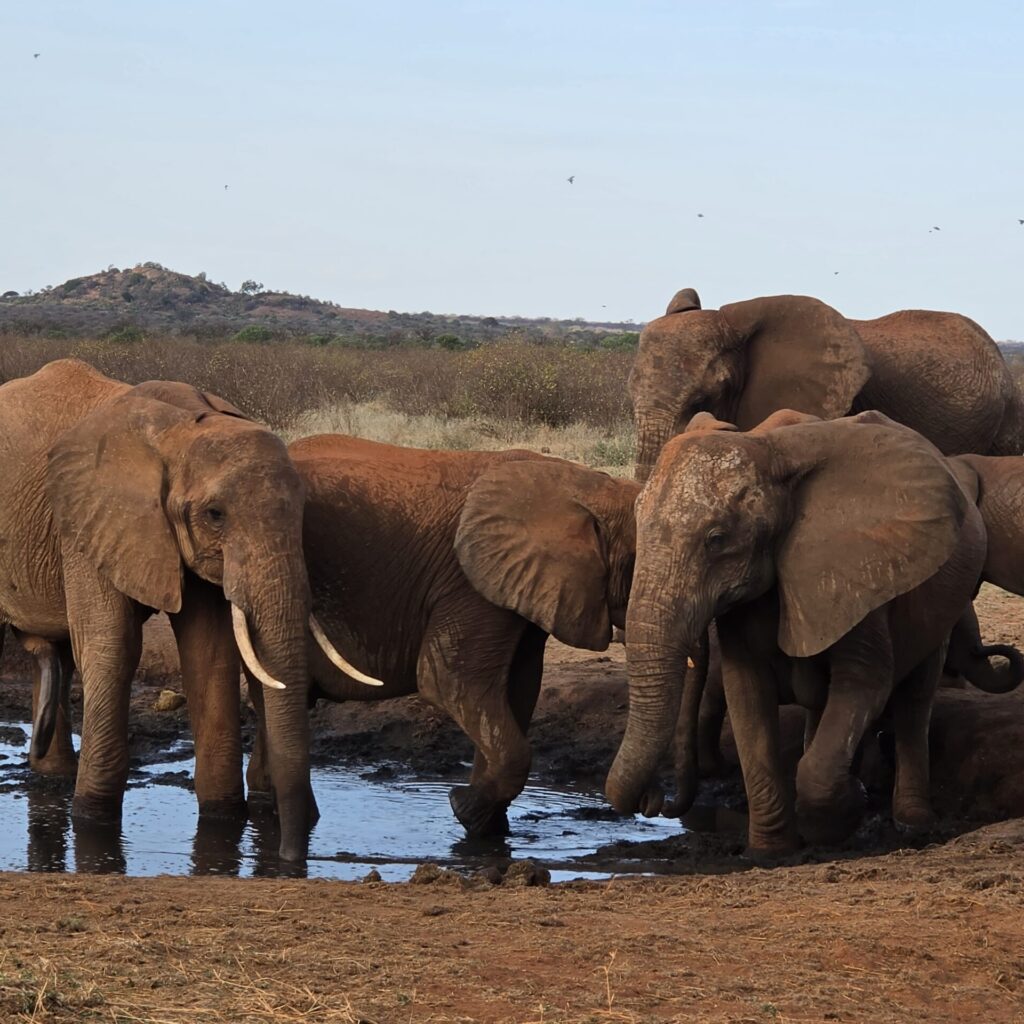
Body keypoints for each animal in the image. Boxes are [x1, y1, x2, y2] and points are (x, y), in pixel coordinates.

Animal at [0, 359, 374, 862]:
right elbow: (112, 647)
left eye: (302, 512)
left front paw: (223, 817)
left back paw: (51, 774)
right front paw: (93, 819)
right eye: (215, 514)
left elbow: (209, 652)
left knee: (56, 656)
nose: (292, 856)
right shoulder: (86, 520)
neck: (179, 428)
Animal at [245, 435, 640, 838]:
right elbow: (451, 682)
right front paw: (465, 810)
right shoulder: (470, 583)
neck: (586, 486)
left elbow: (517, 688)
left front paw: (485, 823)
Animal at [605, 409, 986, 856]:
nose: (653, 801)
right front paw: (771, 851)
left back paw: (912, 824)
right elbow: (747, 695)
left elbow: (864, 682)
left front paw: (845, 809)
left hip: (943, 592)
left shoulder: (856, 571)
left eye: (717, 540)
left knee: (914, 700)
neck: (770, 454)